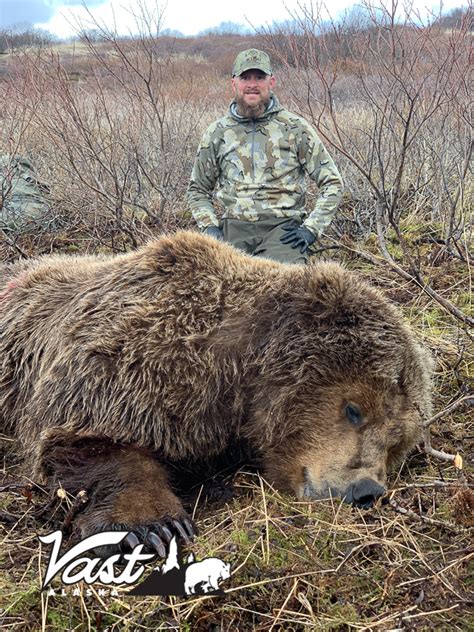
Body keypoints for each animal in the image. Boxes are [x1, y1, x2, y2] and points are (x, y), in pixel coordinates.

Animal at [0, 231, 432, 552]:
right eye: (354, 409)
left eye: (395, 442)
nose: (366, 491)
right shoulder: (127, 359)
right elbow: (82, 440)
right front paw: (153, 526)